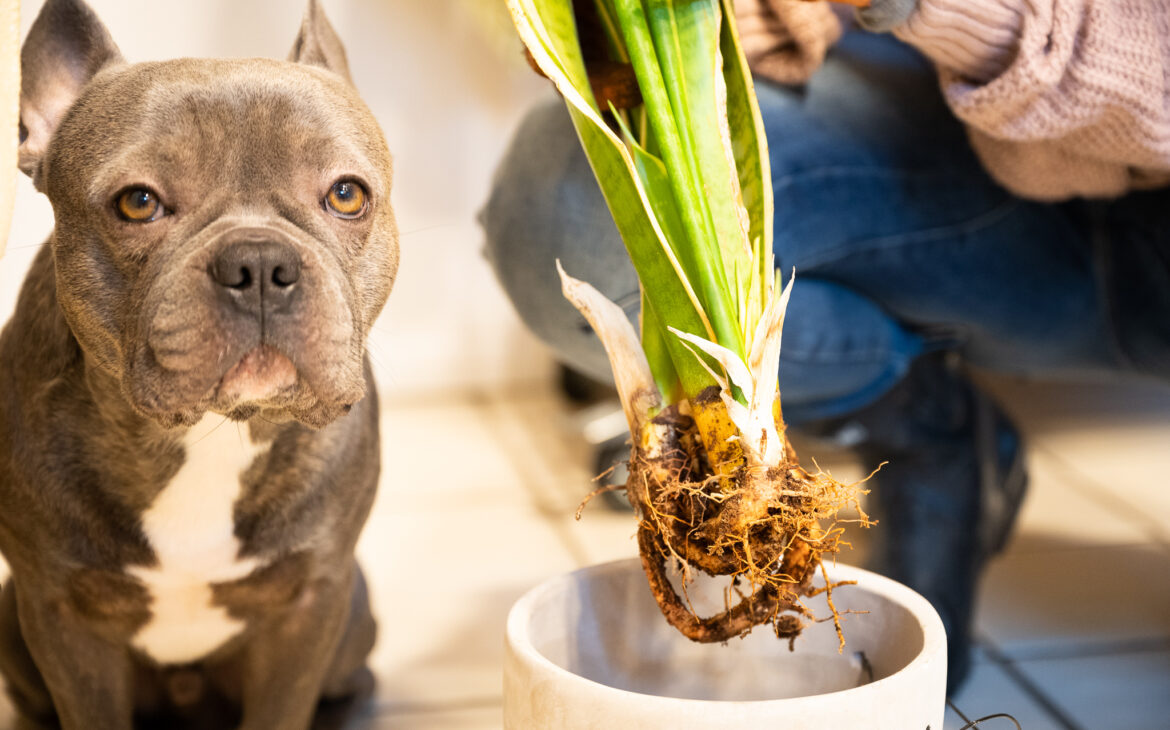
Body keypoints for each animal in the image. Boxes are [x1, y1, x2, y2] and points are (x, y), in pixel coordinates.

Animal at [0, 1, 397, 725]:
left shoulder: (308, 609)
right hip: (11, 621)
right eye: (137, 202)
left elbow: (283, 707)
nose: (261, 264)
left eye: (347, 195)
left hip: (353, 612)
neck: (210, 434)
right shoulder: (60, 614)